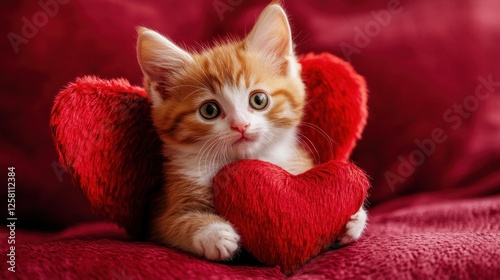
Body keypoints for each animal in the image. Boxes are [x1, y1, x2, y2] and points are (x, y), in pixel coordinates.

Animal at [137, 2, 368, 260]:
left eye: (258, 100)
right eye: (209, 110)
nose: (241, 125)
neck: (244, 159)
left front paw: (354, 218)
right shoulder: (161, 212)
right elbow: (176, 222)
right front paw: (215, 234)